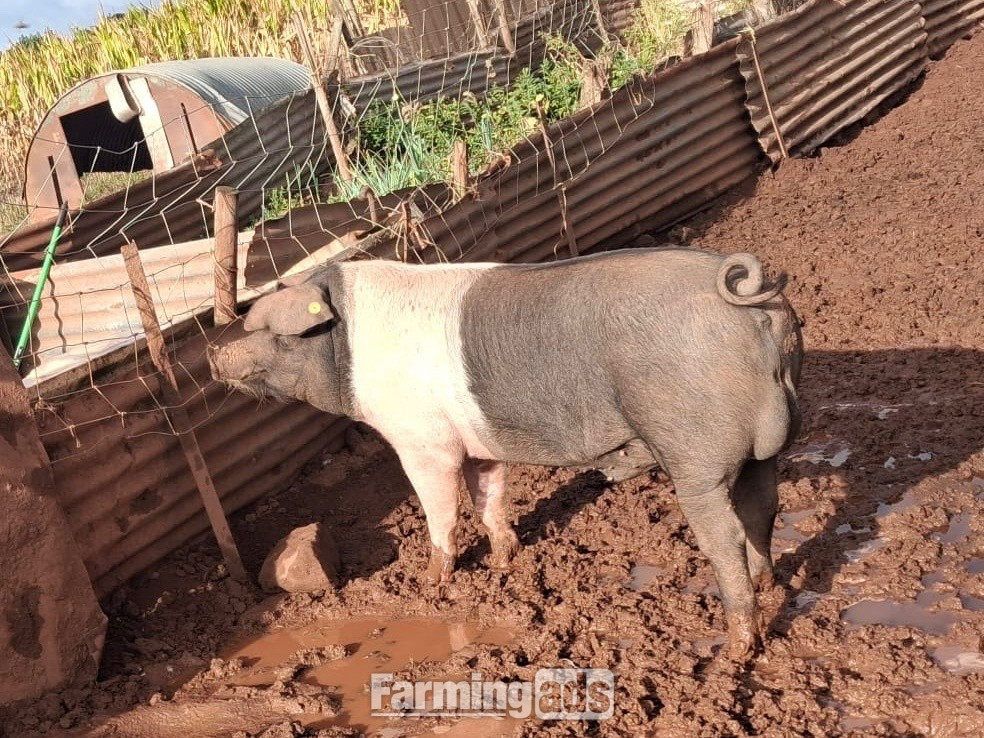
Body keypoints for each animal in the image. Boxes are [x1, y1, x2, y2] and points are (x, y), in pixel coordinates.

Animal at [209, 247, 802, 660]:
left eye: (263, 328)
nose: (213, 353)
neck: (345, 350)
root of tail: (749, 298)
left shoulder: (423, 440)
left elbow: (440, 510)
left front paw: (430, 583)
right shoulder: (479, 444)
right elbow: (488, 497)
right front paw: (502, 562)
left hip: (694, 453)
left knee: (723, 533)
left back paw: (735, 650)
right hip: (769, 444)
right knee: (762, 508)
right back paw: (768, 584)